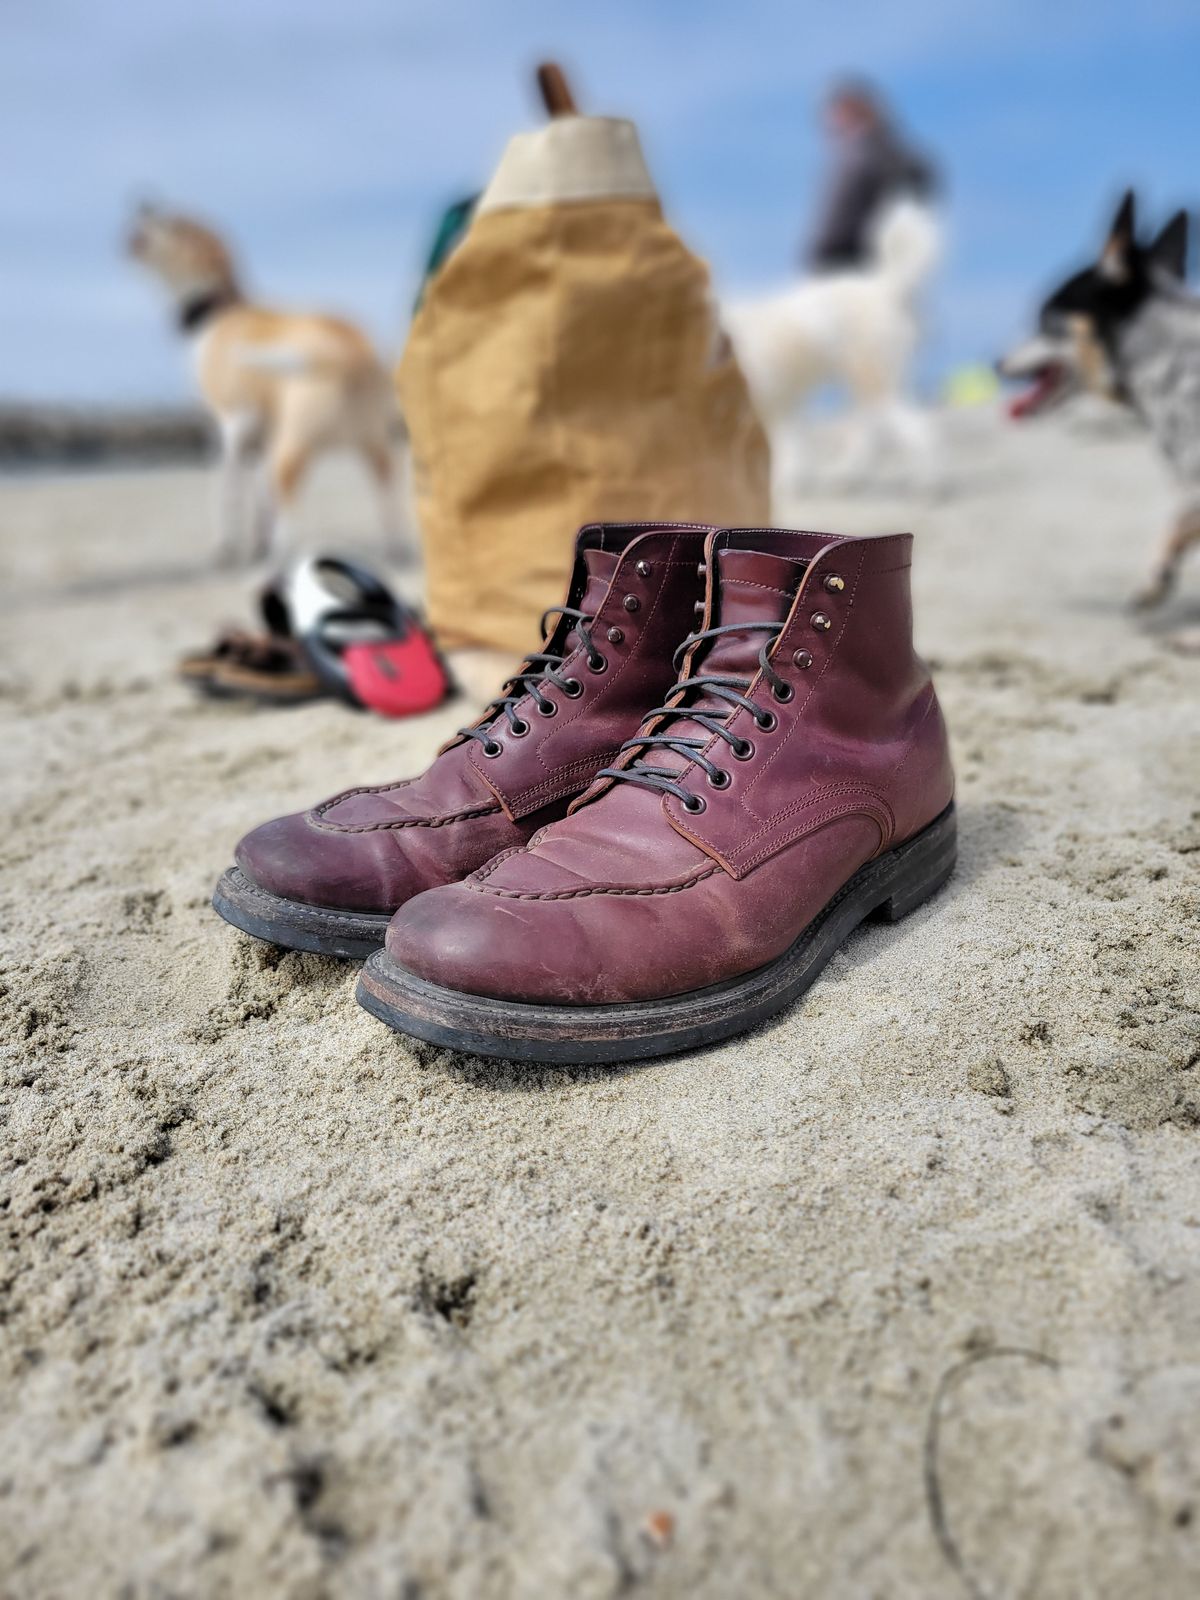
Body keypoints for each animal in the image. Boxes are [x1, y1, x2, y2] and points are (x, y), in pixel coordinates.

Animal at [125, 200, 409, 566]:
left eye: (173, 222)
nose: (140, 199)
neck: (218, 310)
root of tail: (351, 352)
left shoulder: (231, 427)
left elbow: (228, 494)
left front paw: (226, 548)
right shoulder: (260, 434)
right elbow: (261, 499)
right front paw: (255, 544)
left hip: (290, 448)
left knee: (288, 510)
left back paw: (280, 555)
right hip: (374, 446)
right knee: (387, 495)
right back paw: (394, 548)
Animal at [729, 199, 947, 489]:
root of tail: (885, 287)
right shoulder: (781, 404)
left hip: (875, 383)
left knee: (915, 430)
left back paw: (928, 482)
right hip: (875, 384)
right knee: (874, 433)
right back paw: (849, 475)